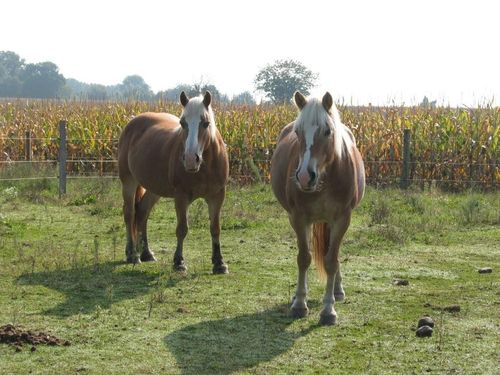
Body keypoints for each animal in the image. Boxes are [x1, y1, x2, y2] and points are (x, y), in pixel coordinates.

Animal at [119, 89, 230, 274]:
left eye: (206, 123)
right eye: (182, 123)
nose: (191, 159)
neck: (205, 166)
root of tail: (133, 122)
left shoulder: (217, 196)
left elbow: (215, 228)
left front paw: (219, 263)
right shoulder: (181, 196)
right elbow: (182, 229)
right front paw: (179, 262)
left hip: (154, 189)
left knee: (142, 212)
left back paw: (146, 253)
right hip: (128, 181)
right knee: (130, 214)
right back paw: (132, 254)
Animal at [272, 91, 366, 326]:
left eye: (327, 131)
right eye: (298, 132)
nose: (305, 177)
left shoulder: (342, 219)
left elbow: (331, 260)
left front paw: (328, 310)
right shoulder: (298, 217)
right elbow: (303, 258)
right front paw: (299, 304)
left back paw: (338, 290)